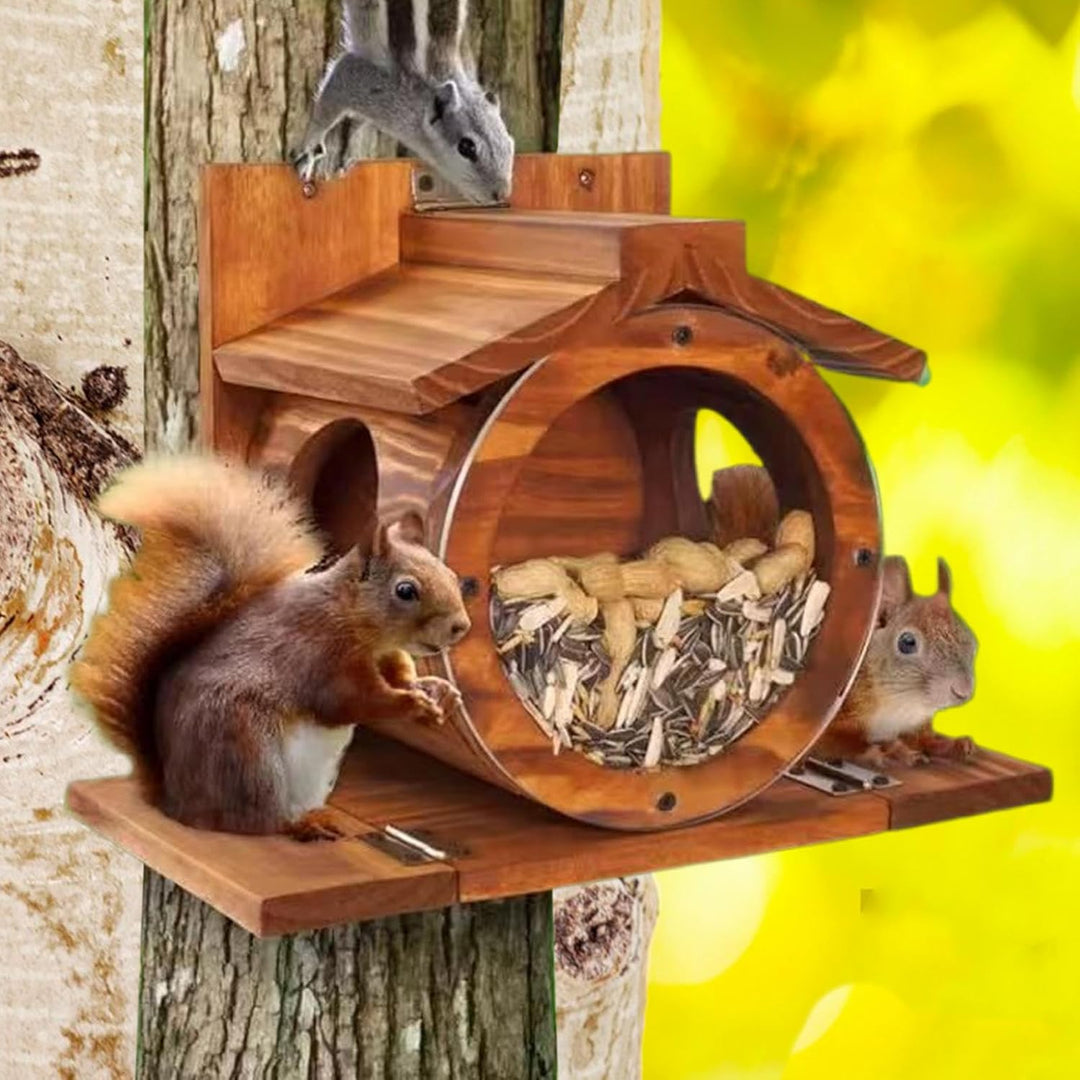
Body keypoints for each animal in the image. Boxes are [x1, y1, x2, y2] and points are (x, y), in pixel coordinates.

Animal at [68, 455, 471, 841]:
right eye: (405, 590)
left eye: (452, 575)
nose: (461, 626)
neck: (358, 624)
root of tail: (173, 800)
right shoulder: (320, 654)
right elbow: (350, 701)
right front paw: (410, 703)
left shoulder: (386, 656)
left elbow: (398, 676)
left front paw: (438, 692)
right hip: (247, 754)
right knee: (255, 822)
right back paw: (300, 826)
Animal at [293, 0, 514, 204]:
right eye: (466, 147)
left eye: (509, 143)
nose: (501, 194)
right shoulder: (364, 83)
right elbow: (327, 106)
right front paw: (308, 151)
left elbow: (356, 121)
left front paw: (346, 154)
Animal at [816, 555, 979, 769]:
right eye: (907, 642)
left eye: (972, 642)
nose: (963, 691)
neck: (900, 704)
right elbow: (840, 744)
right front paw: (892, 751)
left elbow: (924, 739)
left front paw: (954, 745)